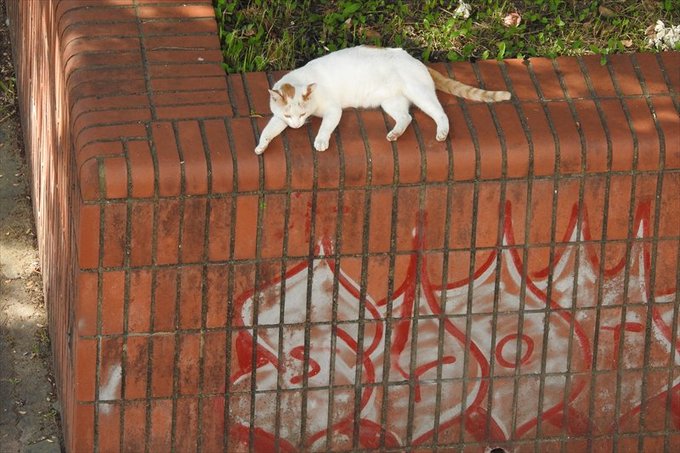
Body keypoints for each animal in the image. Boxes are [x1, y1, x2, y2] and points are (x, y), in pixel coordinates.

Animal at [254, 46, 511, 154]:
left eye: (303, 114)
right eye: (289, 115)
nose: (296, 126)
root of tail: (415, 60)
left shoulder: (333, 110)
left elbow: (326, 127)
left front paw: (320, 141)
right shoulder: (278, 119)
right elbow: (268, 131)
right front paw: (260, 147)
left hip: (420, 94)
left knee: (441, 113)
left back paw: (442, 133)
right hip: (391, 102)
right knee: (406, 118)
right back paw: (394, 134)